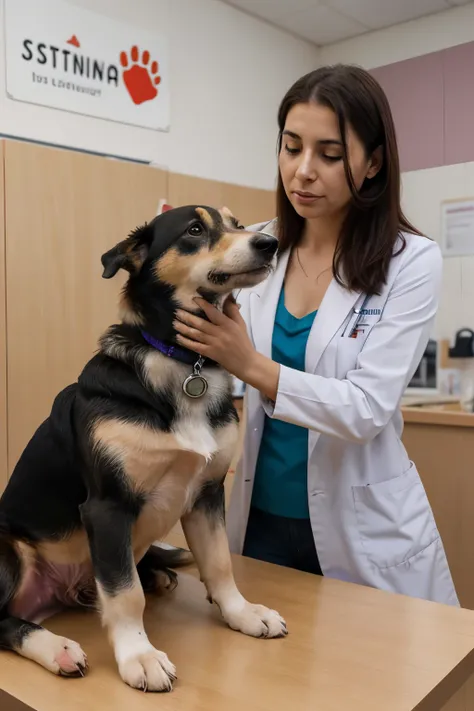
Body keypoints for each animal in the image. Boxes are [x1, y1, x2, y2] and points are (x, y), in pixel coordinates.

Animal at [0, 206, 286, 696]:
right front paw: (139, 655)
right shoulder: (107, 507)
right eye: (195, 229)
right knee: (0, 620)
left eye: (237, 222)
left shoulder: (208, 493)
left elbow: (220, 564)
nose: (270, 244)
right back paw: (55, 647)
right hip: (6, 550)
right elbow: (124, 592)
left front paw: (242, 613)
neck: (183, 364)